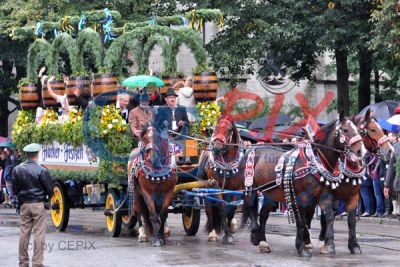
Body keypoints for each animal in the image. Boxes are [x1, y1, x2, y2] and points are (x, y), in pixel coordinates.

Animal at [200, 116, 244, 245]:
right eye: (215, 127)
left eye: (229, 129)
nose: (217, 148)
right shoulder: (216, 188)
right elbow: (222, 209)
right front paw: (227, 235)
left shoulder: (237, 189)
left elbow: (232, 210)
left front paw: (229, 231)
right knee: (209, 209)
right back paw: (212, 233)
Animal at [241, 113, 366, 258]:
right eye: (345, 130)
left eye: (360, 131)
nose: (360, 151)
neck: (313, 163)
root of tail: (252, 149)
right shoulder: (301, 197)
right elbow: (301, 221)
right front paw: (303, 247)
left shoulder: (327, 196)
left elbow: (331, 217)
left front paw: (337, 245)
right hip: (251, 188)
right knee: (251, 208)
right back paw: (256, 236)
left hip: (270, 193)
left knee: (263, 214)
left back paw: (263, 243)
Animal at [314, 109, 396, 255]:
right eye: (373, 129)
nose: (390, 151)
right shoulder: (330, 194)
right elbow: (329, 215)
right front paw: (327, 243)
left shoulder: (353, 195)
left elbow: (351, 220)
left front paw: (354, 245)